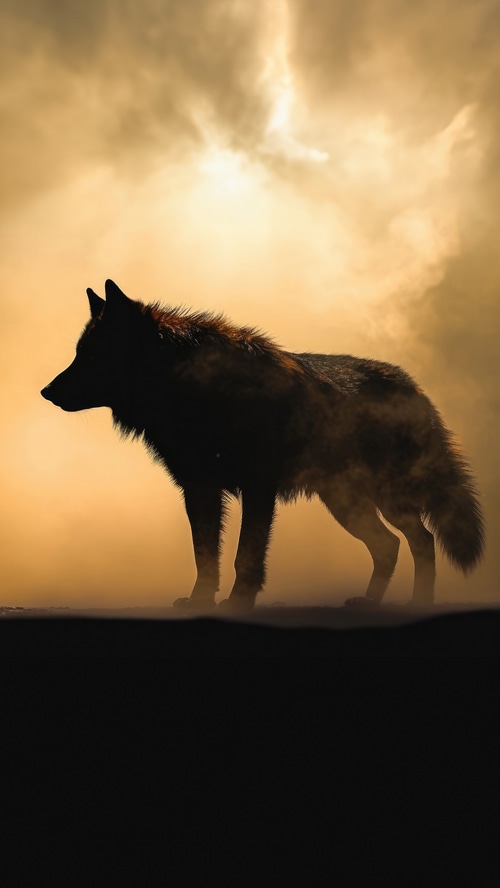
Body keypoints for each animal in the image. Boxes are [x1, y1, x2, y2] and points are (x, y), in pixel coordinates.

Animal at [41, 279, 484, 612]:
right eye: (79, 354)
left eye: (92, 356)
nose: (46, 391)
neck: (195, 390)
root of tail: (414, 388)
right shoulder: (200, 489)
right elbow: (205, 555)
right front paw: (201, 600)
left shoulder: (257, 488)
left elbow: (246, 555)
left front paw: (239, 602)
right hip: (347, 503)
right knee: (391, 545)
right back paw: (370, 602)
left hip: (383, 497)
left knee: (421, 540)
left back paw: (419, 604)